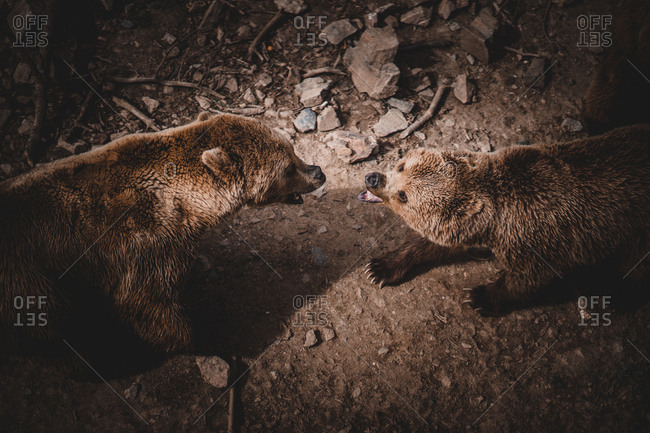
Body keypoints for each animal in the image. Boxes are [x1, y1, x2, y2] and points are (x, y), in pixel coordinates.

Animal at [0, 113, 326, 352]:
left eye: (292, 149)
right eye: (287, 168)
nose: (318, 172)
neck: (190, 202)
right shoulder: (147, 241)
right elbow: (148, 303)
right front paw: (201, 338)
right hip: (28, 279)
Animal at [359, 125, 650, 315]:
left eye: (403, 195)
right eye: (401, 166)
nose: (373, 178)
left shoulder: (542, 238)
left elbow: (527, 279)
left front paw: (480, 297)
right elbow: (432, 244)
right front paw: (381, 267)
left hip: (636, 235)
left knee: (635, 274)